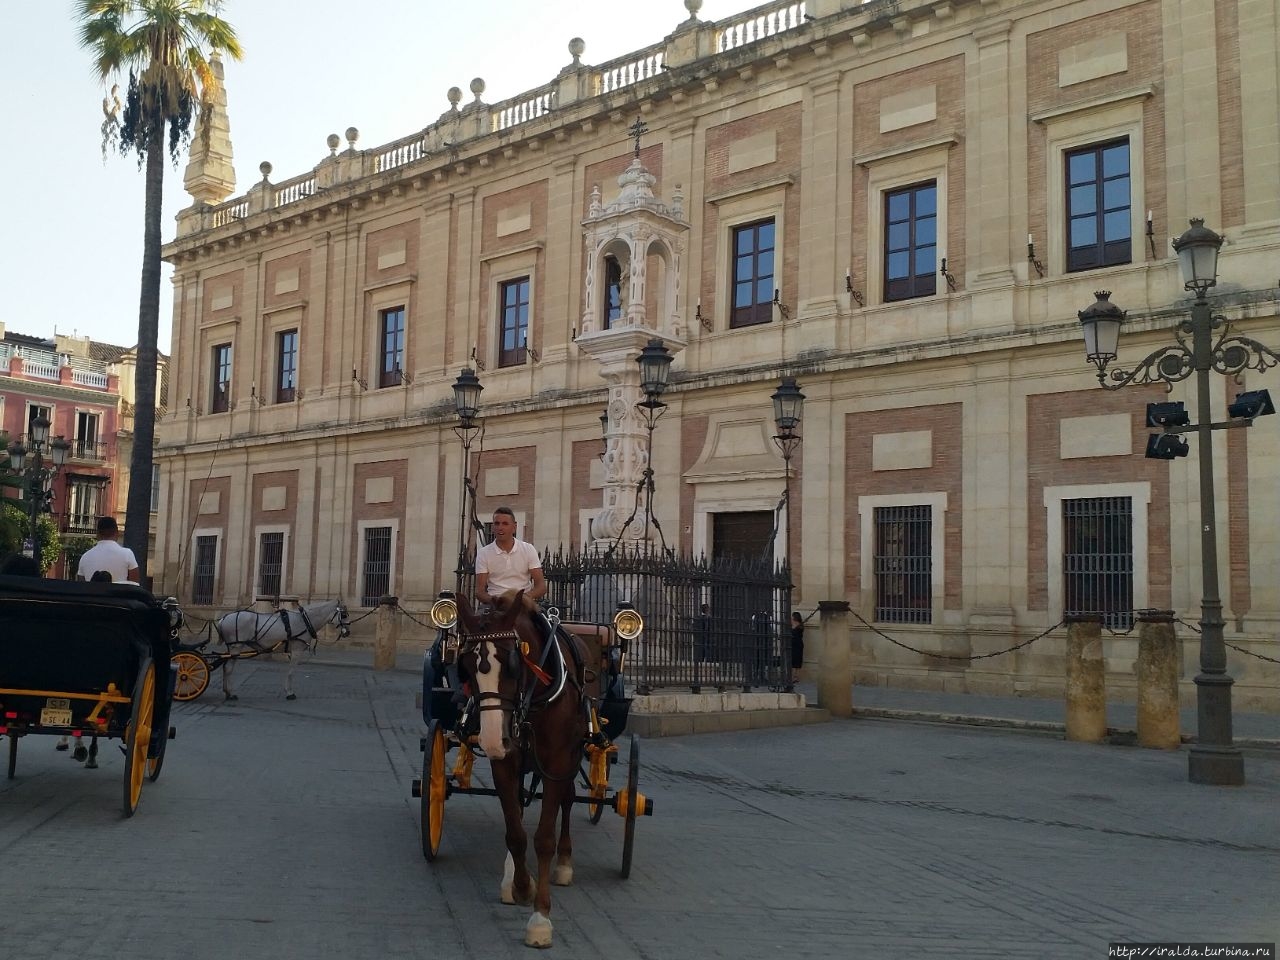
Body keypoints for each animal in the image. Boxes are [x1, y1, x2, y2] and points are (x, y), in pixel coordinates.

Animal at [212, 599, 350, 701]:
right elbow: (291, 672)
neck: (304, 620)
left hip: (232, 649)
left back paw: (226, 691)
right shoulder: (297, 651)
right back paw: (230, 693)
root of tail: (223, 619)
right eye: (343, 615)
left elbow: (289, 671)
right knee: (229, 668)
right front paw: (289, 693)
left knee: (225, 666)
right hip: (236, 647)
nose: (347, 632)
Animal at [453, 591, 586, 952]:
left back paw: (565, 863)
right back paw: (511, 875)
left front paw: (540, 919)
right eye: (465, 667)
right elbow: (515, 833)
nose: (491, 738)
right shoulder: (504, 761)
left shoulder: (556, 761)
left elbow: (543, 838)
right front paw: (522, 886)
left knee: (568, 801)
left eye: (512, 662)